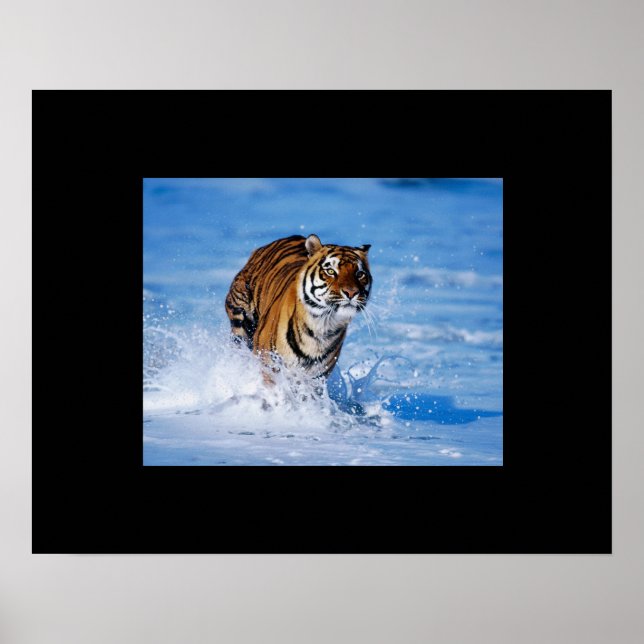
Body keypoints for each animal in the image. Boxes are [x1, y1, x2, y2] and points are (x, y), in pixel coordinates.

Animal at [225, 234, 372, 380]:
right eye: (330, 271)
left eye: (360, 274)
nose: (351, 292)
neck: (322, 327)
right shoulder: (269, 366)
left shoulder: (315, 378)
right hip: (240, 322)